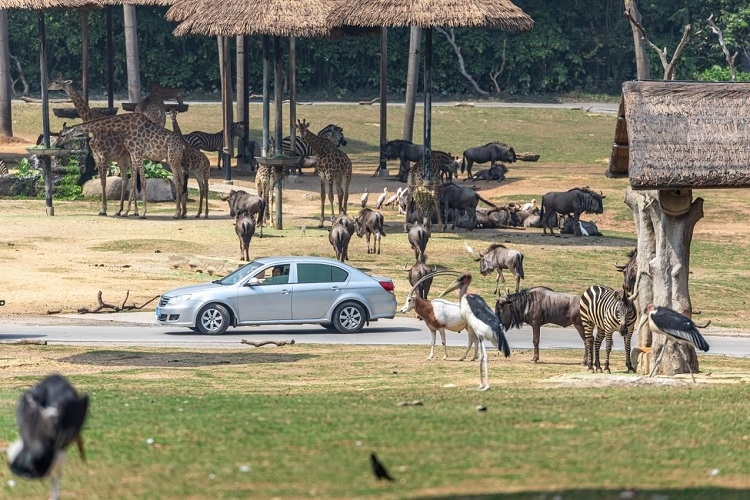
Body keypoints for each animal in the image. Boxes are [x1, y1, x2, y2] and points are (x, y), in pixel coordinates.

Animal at [48, 75, 134, 216]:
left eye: (56, 82)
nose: (47, 86)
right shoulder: (96, 155)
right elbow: (101, 181)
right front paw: (103, 209)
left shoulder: (104, 155)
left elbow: (104, 181)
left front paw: (103, 209)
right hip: (123, 160)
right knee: (128, 180)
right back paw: (122, 210)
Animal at [58, 113, 187, 219]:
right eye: (59, 134)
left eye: (63, 135)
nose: (58, 144)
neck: (125, 127)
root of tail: (182, 145)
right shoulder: (133, 155)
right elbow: (133, 182)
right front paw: (126, 212)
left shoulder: (136, 153)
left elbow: (142, 182)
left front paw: (143, 212)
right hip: (173, 160)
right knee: (181, 181)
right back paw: (182, 213)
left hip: (172, 159)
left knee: (178, 182)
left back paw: (176, 213)